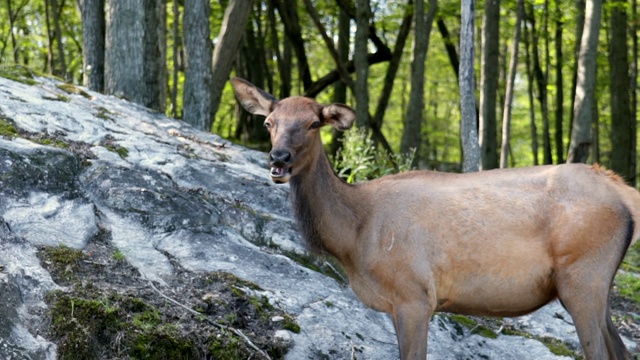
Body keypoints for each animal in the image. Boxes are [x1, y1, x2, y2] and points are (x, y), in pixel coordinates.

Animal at [231, 77, 640, 358]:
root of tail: (623, 191)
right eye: (269, 122)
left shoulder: (415, 296)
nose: (279, 159)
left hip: (582, 275)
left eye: (314, 123)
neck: (353, 239)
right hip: (596, 285)